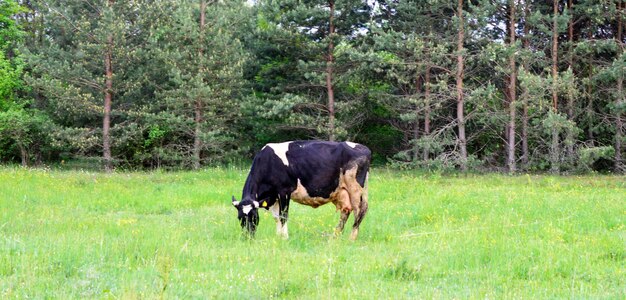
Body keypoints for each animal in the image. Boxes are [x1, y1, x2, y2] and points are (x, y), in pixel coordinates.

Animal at [230, 139, 368, 240]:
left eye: (254, 217)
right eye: (240, 217)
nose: (248, 237)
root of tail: (364, 148)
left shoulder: (284, 191)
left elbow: (283, 215)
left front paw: (285, 237)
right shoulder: (273, 196)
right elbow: (276, 217)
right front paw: (278, 236)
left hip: (356, 188)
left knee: (359, 210)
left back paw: (352, 238)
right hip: (342, 191)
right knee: (346, 210)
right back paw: (335, 236)